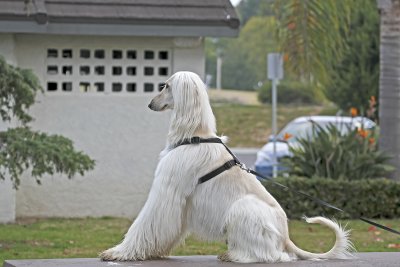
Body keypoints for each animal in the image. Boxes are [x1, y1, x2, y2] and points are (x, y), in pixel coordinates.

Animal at [101, 71, 354, 264]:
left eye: (166, 86)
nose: (150, 104)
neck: (195, 135)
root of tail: (286, 237)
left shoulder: (167, 192)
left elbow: (145, 223)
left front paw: (119, 252)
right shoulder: (182, 201)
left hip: (244, 208)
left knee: (272, 255)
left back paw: (236, 255)